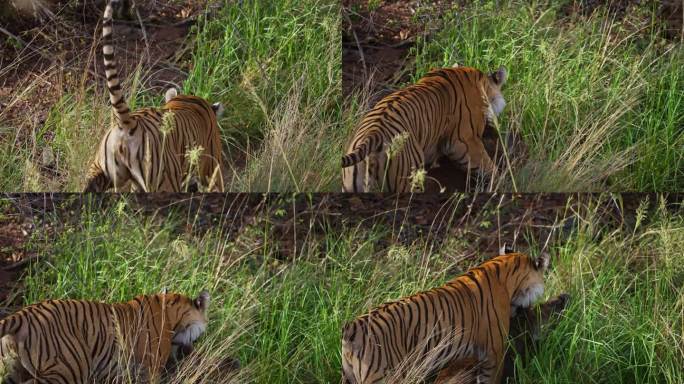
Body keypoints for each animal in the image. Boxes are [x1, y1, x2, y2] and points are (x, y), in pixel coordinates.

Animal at [342, 65, 508, 195]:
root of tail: (373, 134)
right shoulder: (465, 142)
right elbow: (488, 167)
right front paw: (498, 185)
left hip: (351, 185)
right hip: (410, 180)